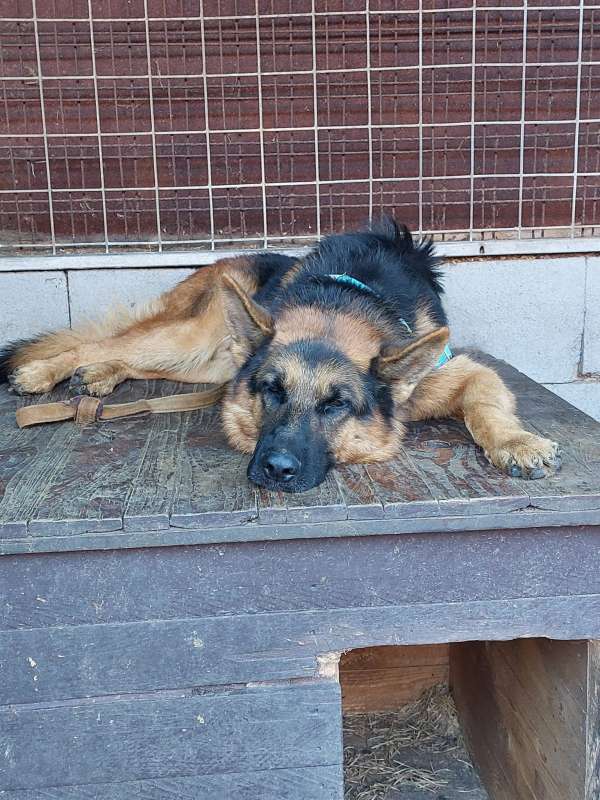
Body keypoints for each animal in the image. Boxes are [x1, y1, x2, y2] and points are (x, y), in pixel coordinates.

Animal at [0, 219, 561, 493]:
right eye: (272, 390)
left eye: (336, 406)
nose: (276, 470)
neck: (343, 301)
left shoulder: (459, 370)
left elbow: (485, 405)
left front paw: (516, 443)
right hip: (192, 340)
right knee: (101, 342)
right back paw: (44, 370)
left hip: (207, 363)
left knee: (133, 359)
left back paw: (98, 376)